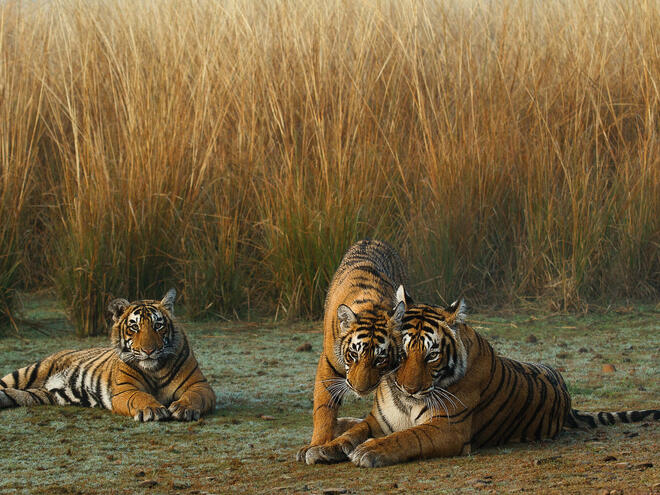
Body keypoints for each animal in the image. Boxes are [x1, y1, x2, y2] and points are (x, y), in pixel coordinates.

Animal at [0, 290, 215, 422]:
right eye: (134, 327)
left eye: (158, 325)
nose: (148, 351)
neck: (155, 369)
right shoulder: (125, 389)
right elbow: (140, 396)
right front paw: (152, 409)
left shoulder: (200, 385)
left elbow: (194, 396)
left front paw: (183, 408)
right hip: (28, 372)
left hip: (37, 396)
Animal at [296, 240, 410, 464]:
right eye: (353, 355)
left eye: (380, 359)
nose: (360, 388)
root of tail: (372, 239)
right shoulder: (328, 366)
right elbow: (323, 409)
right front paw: (316, 445)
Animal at [306, 300, 660, 466]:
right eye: (401, 354)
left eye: (431, 356)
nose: (410, 389)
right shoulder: (378, 420)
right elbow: (353, 433)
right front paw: (323, 448)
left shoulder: (447, 428)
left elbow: (405, 438)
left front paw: (369, 451)